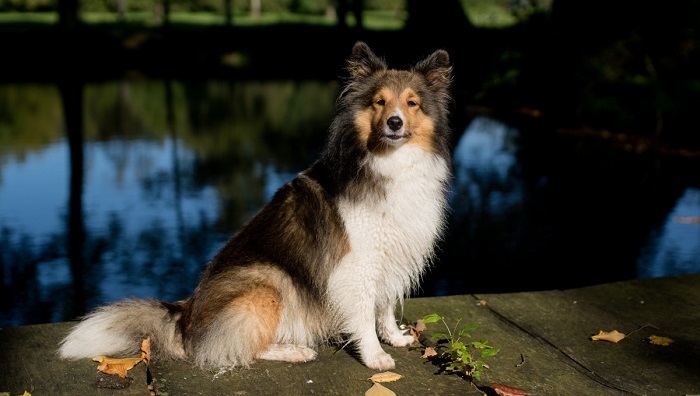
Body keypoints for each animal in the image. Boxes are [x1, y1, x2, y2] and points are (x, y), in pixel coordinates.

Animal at [58, 41, 454, 372]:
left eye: (412, 103)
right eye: (379, 102)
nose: (394, 123)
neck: (389, 161)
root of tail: (184, 319)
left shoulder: (392, 254)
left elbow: (384, 305)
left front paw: (395, 337)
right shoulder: (357, 263)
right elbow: (363, 312)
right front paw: (375, 356)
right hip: (268, 280)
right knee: (231, 348)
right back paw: (293, 350)